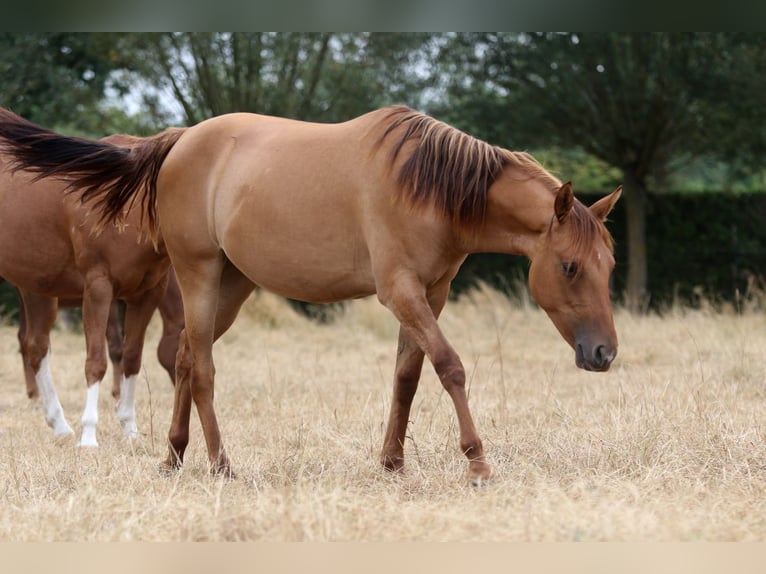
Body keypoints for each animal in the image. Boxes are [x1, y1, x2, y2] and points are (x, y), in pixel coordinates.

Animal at [0, 132, 185, 447]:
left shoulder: (146, 295)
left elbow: (131, 357)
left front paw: (129, 428)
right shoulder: (99, 289)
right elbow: (97, 360)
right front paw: (89, 435)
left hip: (36, 287)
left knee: (36, 346)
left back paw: (59, 424)